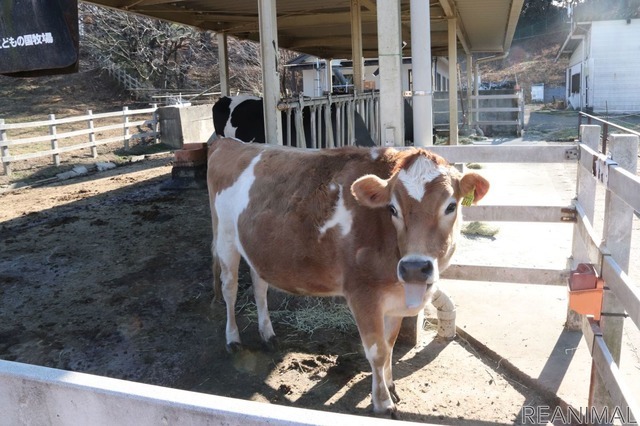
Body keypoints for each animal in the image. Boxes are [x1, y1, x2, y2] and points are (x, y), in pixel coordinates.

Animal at [206, 138, 490, 414]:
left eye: (451, 206)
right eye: (392, 208)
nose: (414, 268)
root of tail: (230, 142)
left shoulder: (394, 300)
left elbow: (389, 344)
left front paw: (390, 385)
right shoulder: (362, 294)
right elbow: (377, 351)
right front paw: (382, 402)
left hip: (258, 249)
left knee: (259, 286)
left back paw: (268, 334)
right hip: (225, 239)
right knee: (230, 289)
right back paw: (233, 339)